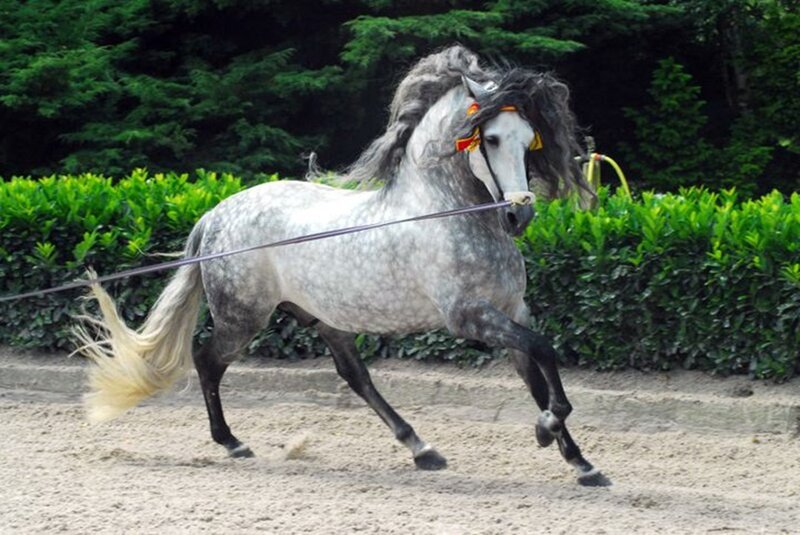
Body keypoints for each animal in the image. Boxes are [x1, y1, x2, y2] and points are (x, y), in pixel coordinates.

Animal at [75, 45, 609, 486]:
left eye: (530, 138)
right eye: (492, 138)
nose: (519, 215)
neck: (444, 213)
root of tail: (216, 214)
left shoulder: (512, 311)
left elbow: (539, 374)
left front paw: (582, 464)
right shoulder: (470, 318)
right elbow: (545, 356)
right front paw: (547, 432)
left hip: (325, 319)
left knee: (355, 377)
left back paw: (423, 449)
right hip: (243, 316)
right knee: (207, 361)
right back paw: (233, 443)